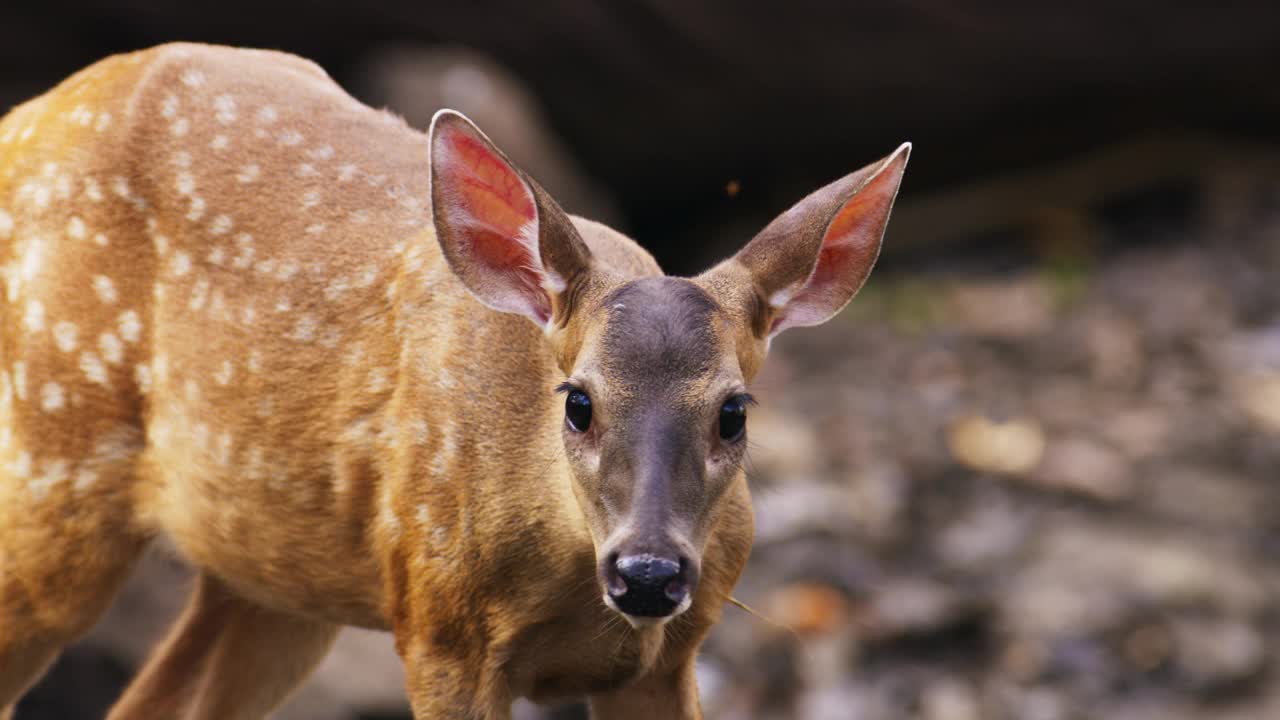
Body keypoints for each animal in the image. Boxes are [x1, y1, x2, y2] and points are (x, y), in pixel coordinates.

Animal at [0, 44, 911, 717]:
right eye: (579, 402)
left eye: (733, 412)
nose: (648, 572)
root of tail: (23, 121)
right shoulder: (442, 628)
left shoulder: (668, 655)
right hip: (52, 467)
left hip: (270, 574)